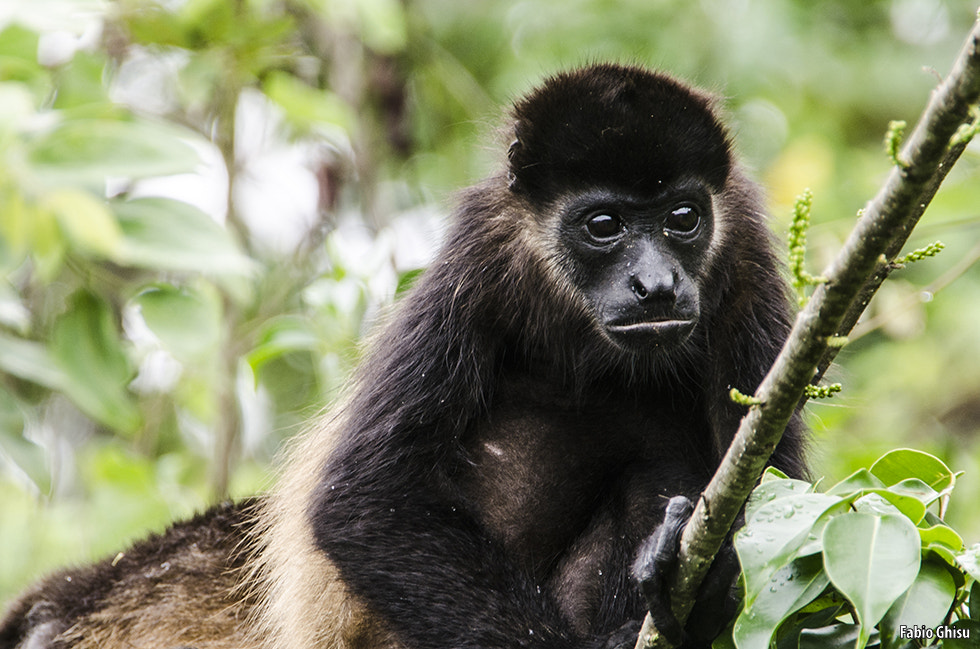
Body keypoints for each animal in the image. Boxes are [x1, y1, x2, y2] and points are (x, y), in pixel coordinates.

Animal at [0, 64, 808, 648]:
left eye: (683, 218)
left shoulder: (744, 247)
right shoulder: (477, 257)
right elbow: (361, 502)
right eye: (603, 225)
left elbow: (777, 483)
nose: (656, 283)